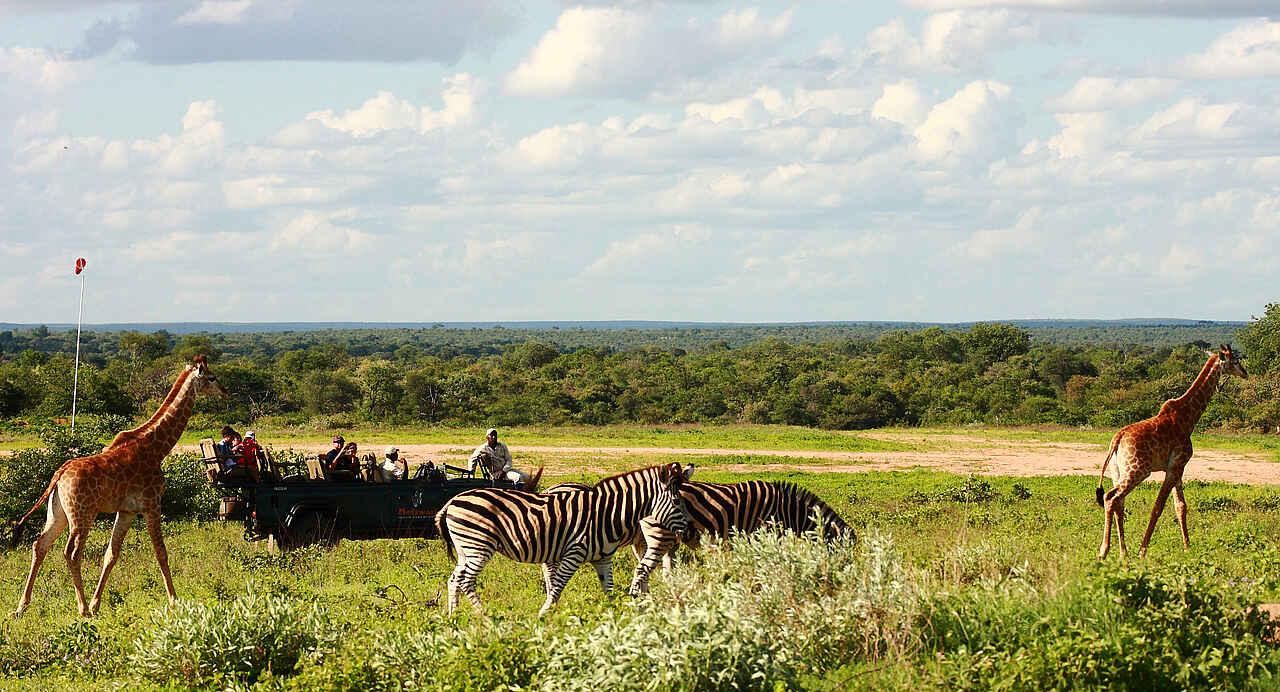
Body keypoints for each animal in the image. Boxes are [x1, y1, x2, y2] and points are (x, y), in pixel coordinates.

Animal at [436, 462, 689, 616]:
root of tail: (452, 501)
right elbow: (557, 586)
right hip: (479, 547)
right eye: (677, 502)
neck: (607, 515)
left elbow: (608, 589)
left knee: (454, 579)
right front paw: (544, 614)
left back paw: (453, 615)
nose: (688, 532)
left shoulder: (603, 558)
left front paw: (612, 618)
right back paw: (485, 615)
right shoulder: (573, 553)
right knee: (465, 580)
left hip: (465, 549)